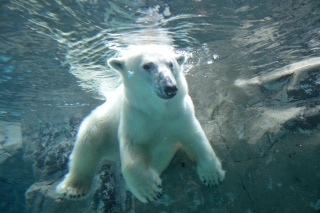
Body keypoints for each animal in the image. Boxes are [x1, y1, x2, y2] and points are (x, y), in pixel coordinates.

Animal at [55, 46, 225, 203]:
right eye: (147, 65)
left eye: (171, 64)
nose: (170, 87)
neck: (158, 110)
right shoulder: (134, 117)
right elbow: (132, 151)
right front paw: (150, 190)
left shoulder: (180, 114)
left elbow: (196, 138)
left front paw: (212, 176)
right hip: (105, 123)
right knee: (88, 141)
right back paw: (73, 189)